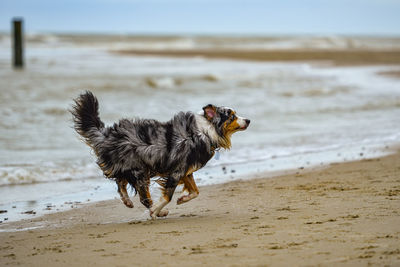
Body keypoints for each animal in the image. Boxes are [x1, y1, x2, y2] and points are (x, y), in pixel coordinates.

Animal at [70, 91, 248, 219]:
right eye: (232, 116)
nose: (249, 120)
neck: (205, 131)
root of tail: (107, 134)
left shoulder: (185, 170)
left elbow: (196, 191)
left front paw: (181, 199)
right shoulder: (177, 170)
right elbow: (168, 196)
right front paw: (156, 210)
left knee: (121, 183)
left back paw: (128, 202)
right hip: (139, 170)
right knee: (141, 195)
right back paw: (157, 211)